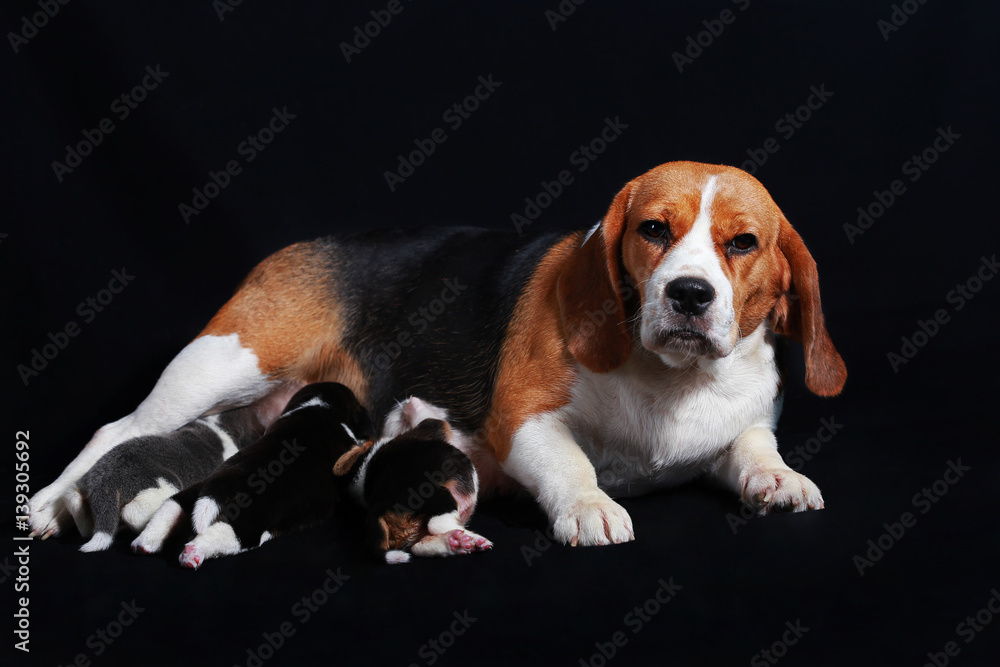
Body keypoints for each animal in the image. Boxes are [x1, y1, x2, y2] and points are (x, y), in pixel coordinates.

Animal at [69, 410, 264, 556]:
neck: (220, 425)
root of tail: (104, 483)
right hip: (162, 486)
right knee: (132, 513)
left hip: (80, 487)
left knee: (76, 504)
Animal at [129, 380, 372, 568]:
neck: (322, 406)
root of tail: (223, 484)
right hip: (249, 524)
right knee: (223, 535)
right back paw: (193, 554)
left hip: (194, 493)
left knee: (171, 506)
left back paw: (145, 542)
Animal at [336, 400, 492, 568]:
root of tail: (376, 511)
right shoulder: (434, 425)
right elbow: (429, 417)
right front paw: (412, 405)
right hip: (438, 495)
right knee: (437, 524)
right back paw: (470, 537)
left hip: (411, 532)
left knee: (418, 545)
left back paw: (454, 542)